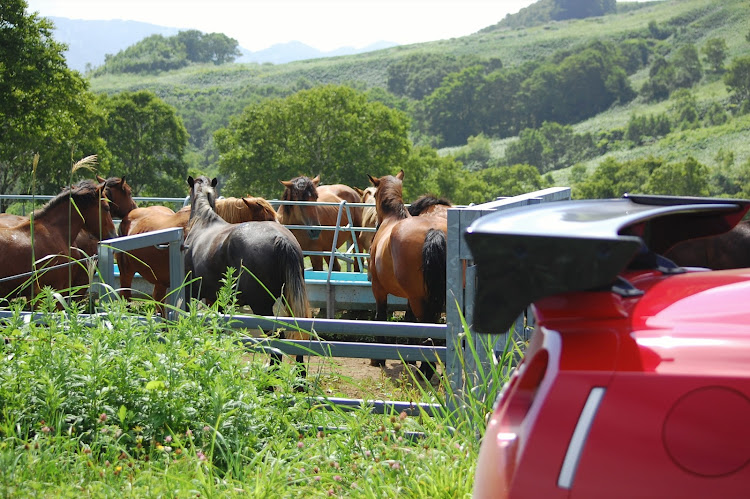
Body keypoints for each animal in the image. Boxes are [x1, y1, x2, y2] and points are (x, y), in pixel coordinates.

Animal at [368, 172, 450, 378]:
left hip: (419, 298)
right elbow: (408, 320)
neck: (392, 218)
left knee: (427, 329)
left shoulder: (378, 289)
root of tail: (434, 232)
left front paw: (378, 359)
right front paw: (410, 358)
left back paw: (427, 370)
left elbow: (381, 317)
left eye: (374, 195)